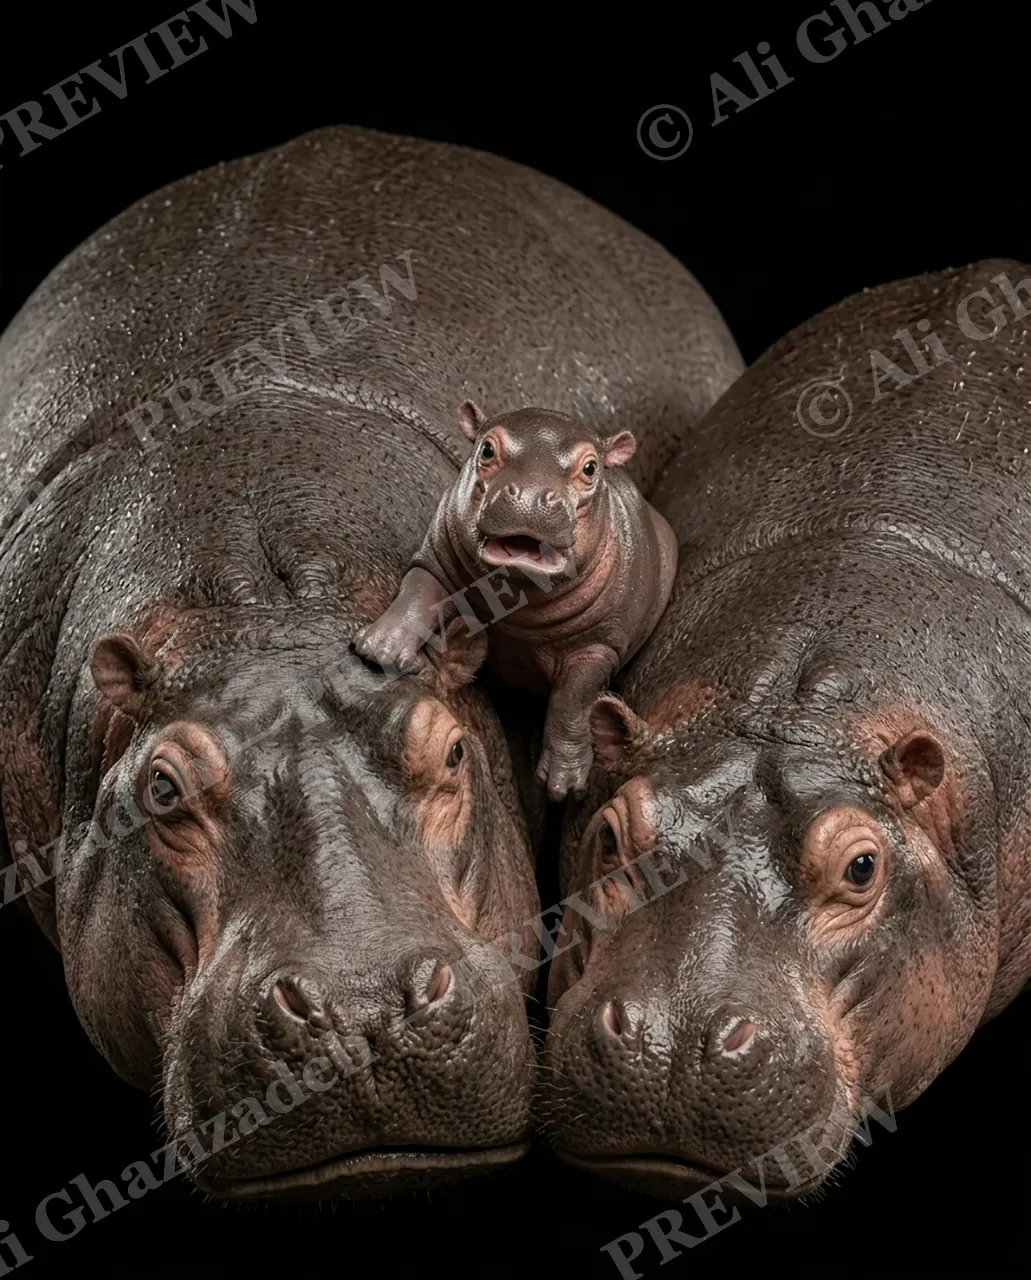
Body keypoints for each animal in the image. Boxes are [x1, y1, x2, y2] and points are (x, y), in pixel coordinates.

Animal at [355, 401, 678, 801]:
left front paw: (563, 785)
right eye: (487, 449)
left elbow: (573, 697)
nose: (529, 495)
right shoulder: (436, 560)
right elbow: (417, 594)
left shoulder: (600, 644)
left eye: (590, 467)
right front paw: (378, 648)